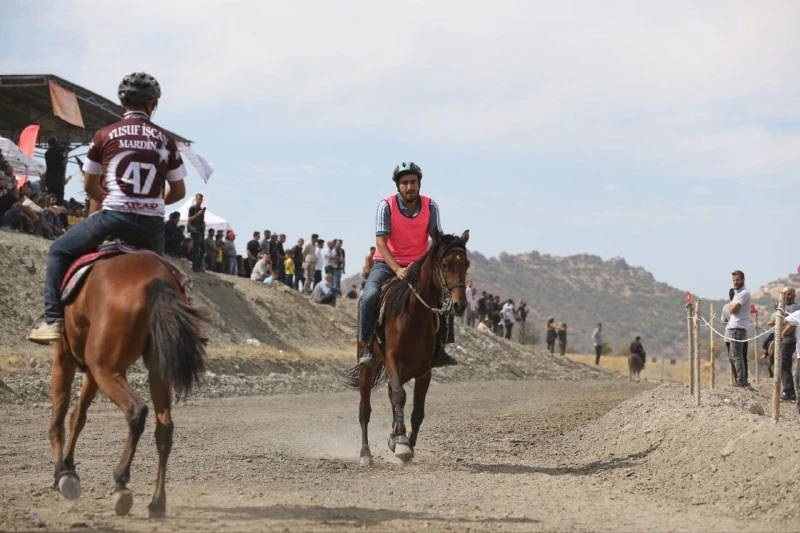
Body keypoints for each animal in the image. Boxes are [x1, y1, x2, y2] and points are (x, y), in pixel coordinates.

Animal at [48, 251, 205, 516]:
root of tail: (156, 279)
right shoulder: (91, 371)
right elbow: (78, 417)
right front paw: (69, 466)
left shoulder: (65, 355)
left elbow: (59, 416)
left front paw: (62, 473)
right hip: (153, 371)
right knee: (164, 427)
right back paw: (157, 502)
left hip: (107, 369)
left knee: (136, 411)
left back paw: (121, 483)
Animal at [344, 231, 468, 464]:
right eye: (445, 265)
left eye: (466, 264)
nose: (460, 304)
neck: (415, 315)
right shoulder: (393, 359)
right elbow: (400, 396)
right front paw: (402, 443)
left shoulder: (424, 370)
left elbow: (417, 410)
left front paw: (404, 441)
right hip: (368, 366)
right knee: (365, 408)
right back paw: (366, 453)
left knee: (392, 394)